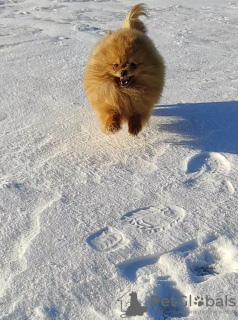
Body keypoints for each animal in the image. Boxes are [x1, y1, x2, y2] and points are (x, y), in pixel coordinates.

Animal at [84, 4, 165, 136]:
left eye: (133, 65)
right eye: (115, 65)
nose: (123, 71)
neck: (125, 93)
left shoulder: (140, 104)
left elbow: (136, 116)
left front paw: (134, 129)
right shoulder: (108, 100)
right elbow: (111, 113)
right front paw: (112, 126)